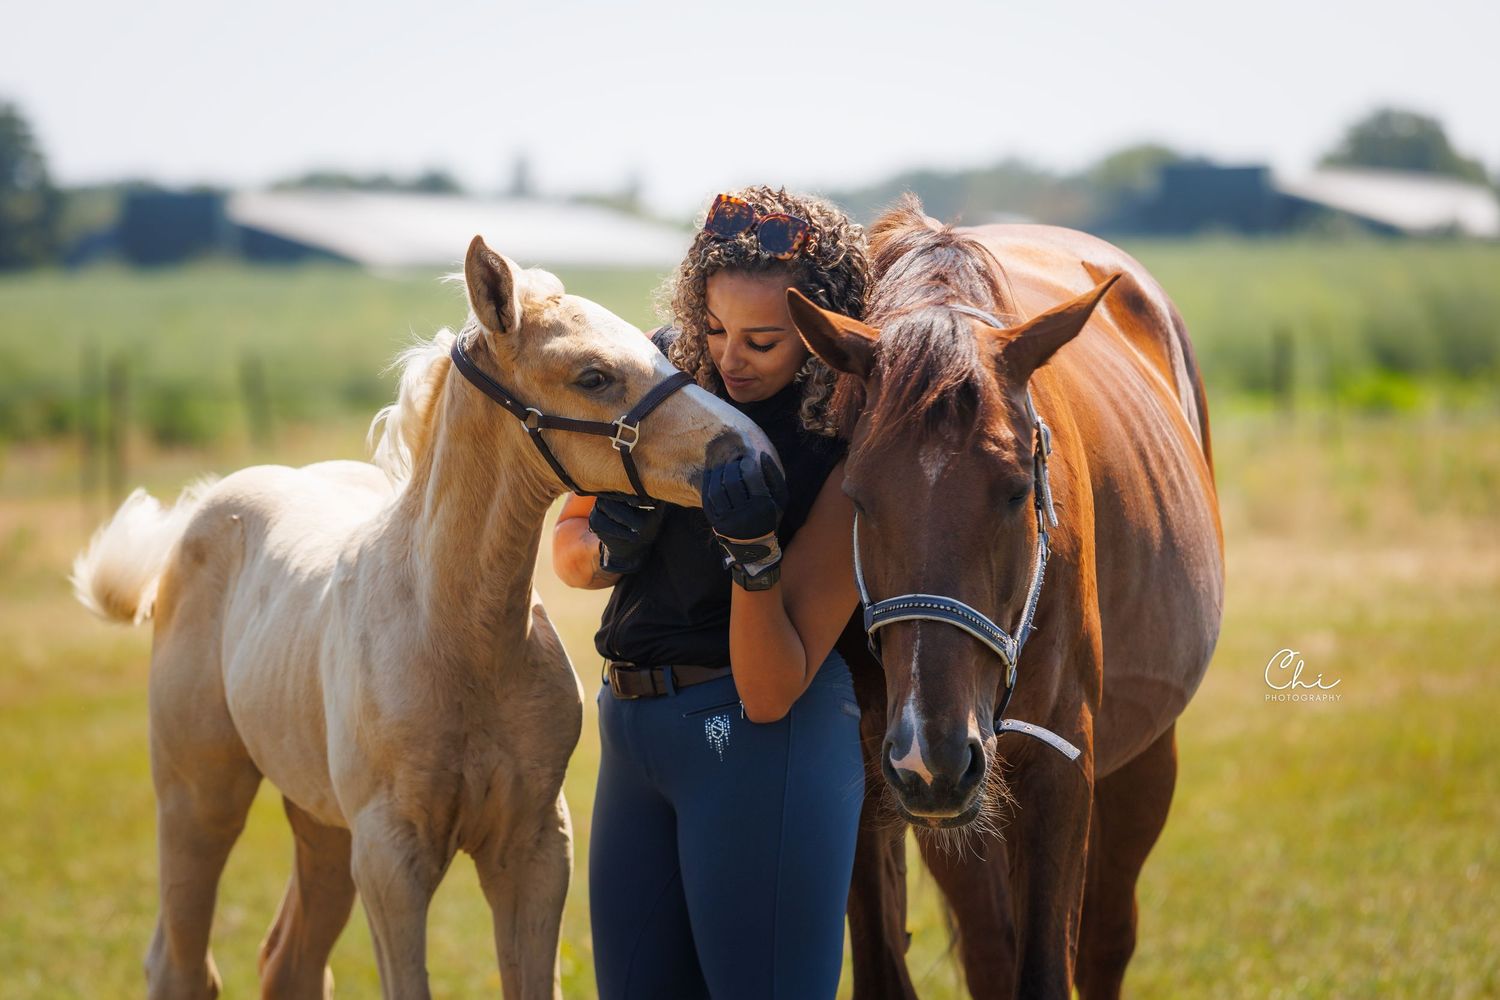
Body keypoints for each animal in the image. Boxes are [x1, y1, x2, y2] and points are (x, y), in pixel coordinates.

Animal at [70, 236, 777, 1000]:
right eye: (593, 376)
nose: (755, 460)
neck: (457, 635)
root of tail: (202, 511)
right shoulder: (392, 860)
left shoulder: (534, 849)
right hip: (200, 798)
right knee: (180, 963)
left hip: (321, 823)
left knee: (290, 962)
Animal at [796, 197, 1224, 999]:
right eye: (855, 497)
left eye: (1018, 489)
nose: (930, 749)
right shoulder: (874, 778)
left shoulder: (1060, 768)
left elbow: (1050, 969)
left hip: (1141, 760)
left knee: (1106, 940)